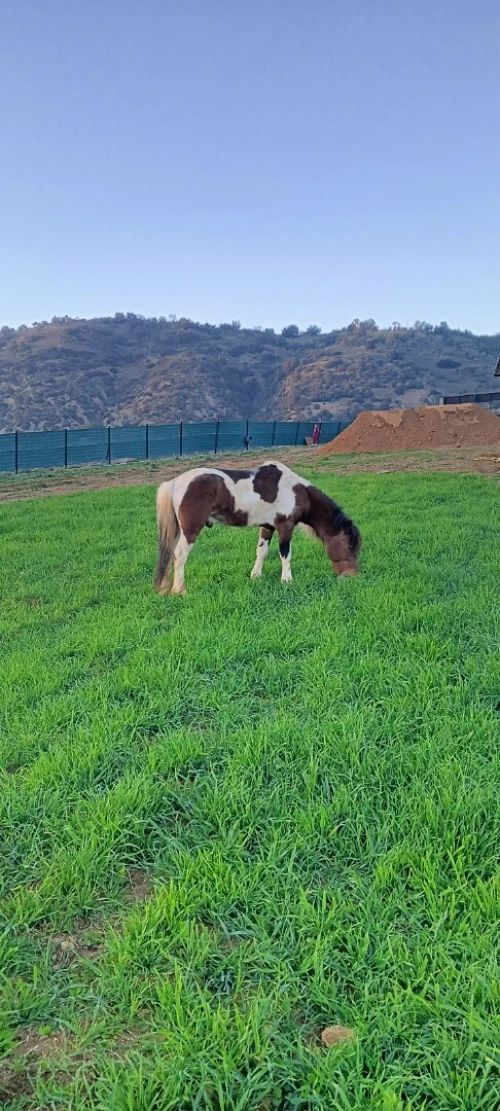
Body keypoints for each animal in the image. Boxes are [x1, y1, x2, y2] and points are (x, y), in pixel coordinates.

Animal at [154, 461, 361, 596]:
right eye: (350, 546)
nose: (352, 576)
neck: (296, 491)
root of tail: (174, 482)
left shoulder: (267, 527)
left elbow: (261, 552)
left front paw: (255, 576)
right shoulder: (285, 526)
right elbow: (285, 554)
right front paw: (287, 580)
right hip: (190, 530)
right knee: (179, 555)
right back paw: (180, 590)